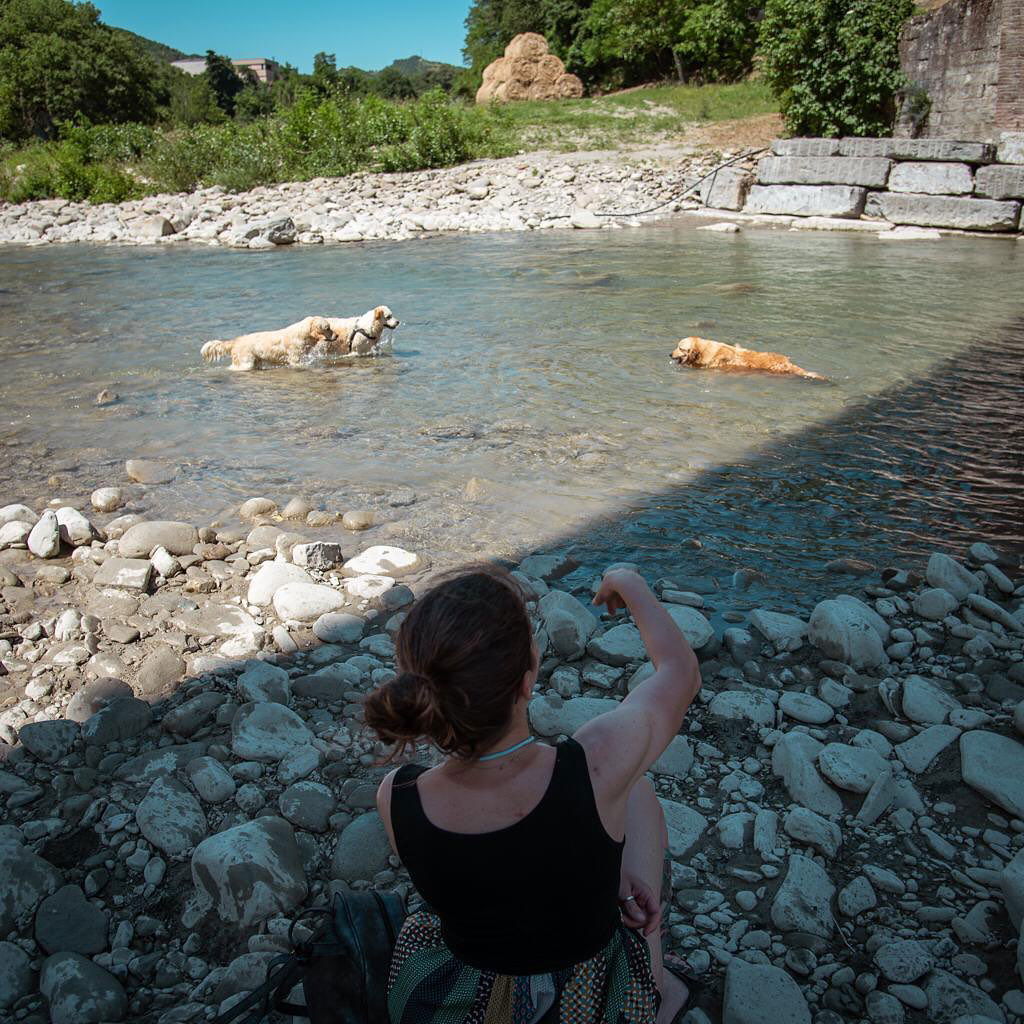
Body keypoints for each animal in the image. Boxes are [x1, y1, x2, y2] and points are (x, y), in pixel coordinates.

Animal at [201, 317, 337, 374]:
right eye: (327, 328)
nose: (336, 336)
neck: (304, 335)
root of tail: (236, 341)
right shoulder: (295, 359)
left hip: (256, 361)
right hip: (245, 362)